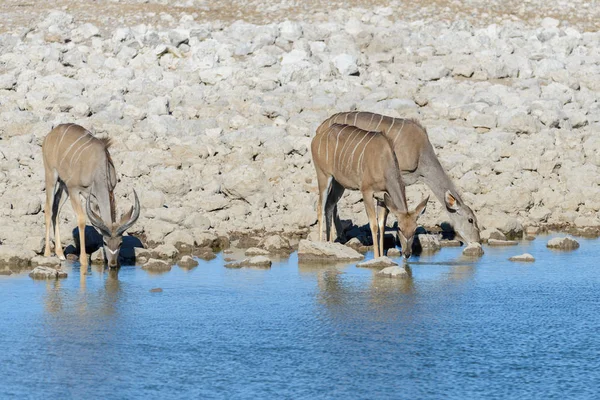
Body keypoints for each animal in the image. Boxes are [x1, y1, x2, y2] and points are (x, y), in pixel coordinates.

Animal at [42, 124, 141, 268]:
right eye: (105, 242)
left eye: (120, 243)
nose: (112, 264)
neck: (97, 169)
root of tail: (51, 134)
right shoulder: (74, 189)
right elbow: (82, 219)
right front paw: (83, 260)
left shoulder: (95, 197)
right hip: (52, 175)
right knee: (48, 208)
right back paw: (47, 253)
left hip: (63, 185)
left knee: (56, 208)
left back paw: (60, 254)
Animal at [312, 123, 428, 258]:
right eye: (399, 228)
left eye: (414, 229)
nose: (407, 253)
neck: (384, 162)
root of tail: (317, 137)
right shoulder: (366, 191)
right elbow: (374, 225)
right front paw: (376, 257)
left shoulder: (383, 198)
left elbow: (382, 225)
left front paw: (382, 257)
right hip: (323, 176)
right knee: (320, 206)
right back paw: (321, 243)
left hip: (339, 183)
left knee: (329, 205)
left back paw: (330, 243)